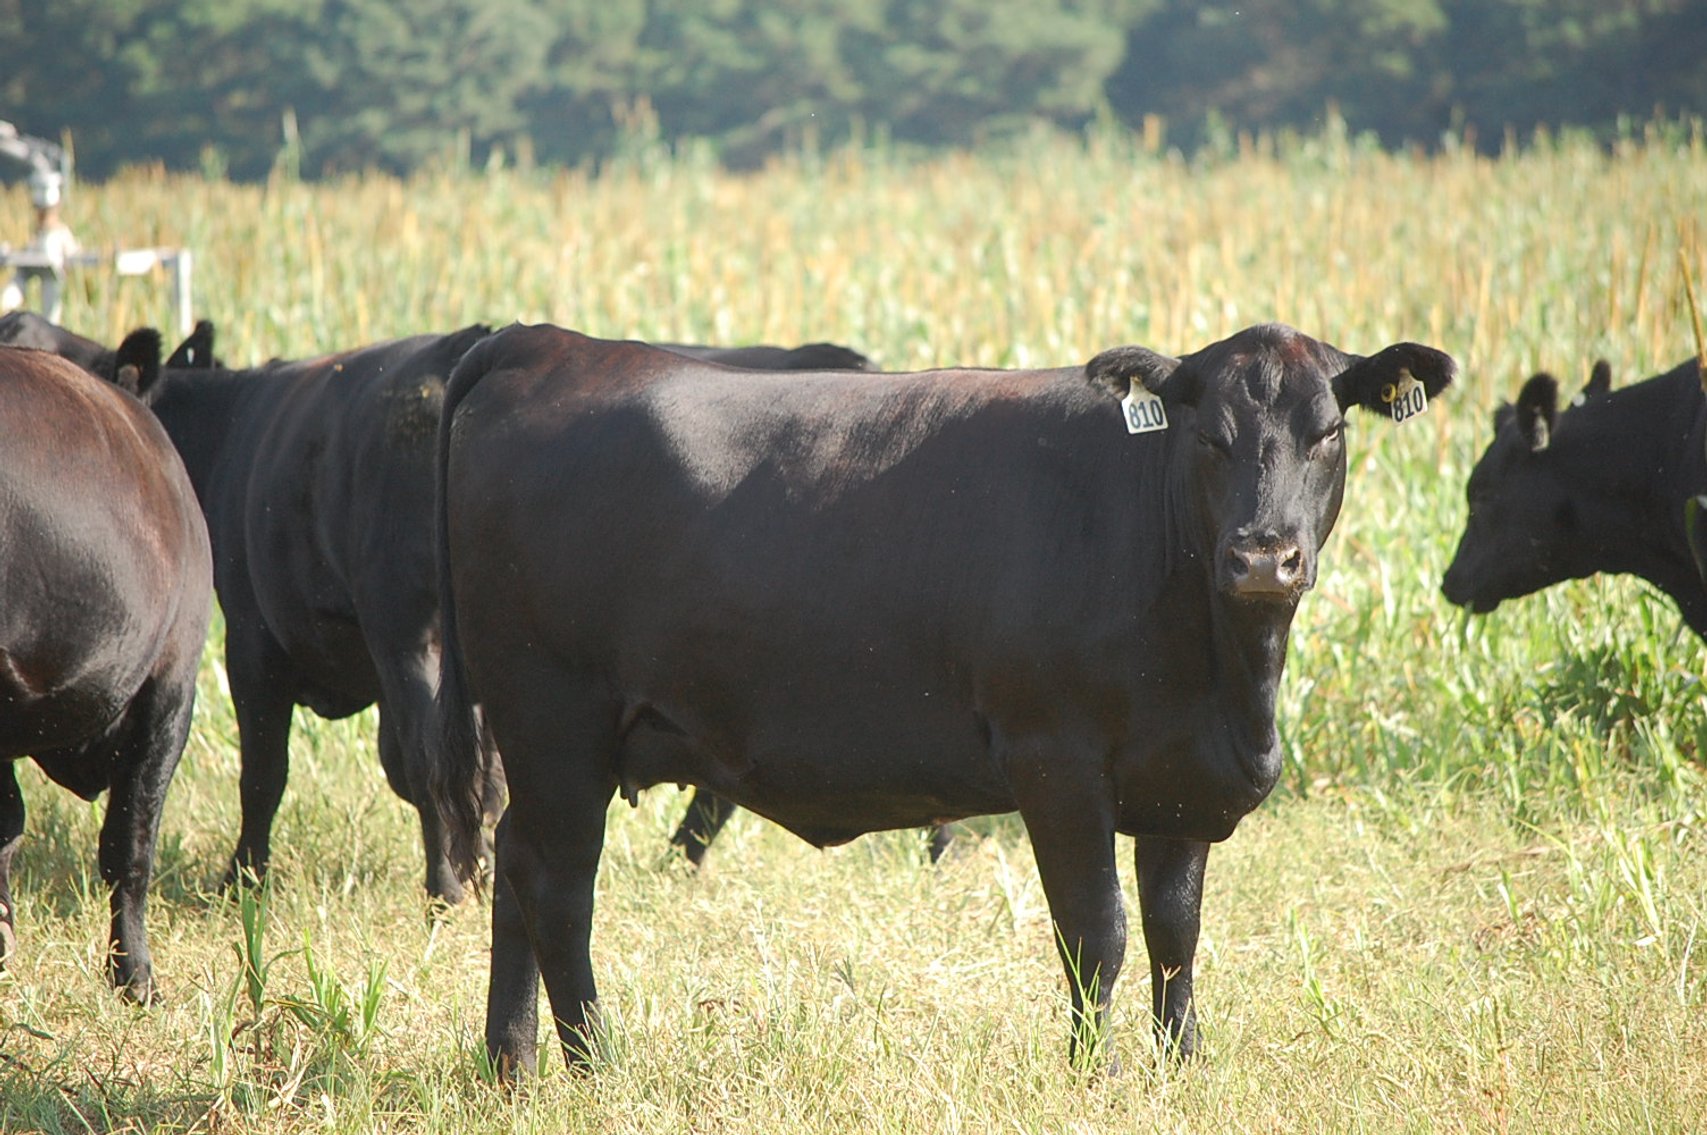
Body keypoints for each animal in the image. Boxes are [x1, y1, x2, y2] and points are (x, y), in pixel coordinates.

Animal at [428, 321, 1455, 1077]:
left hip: (546, 742)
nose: (1261, 556)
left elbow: (1176, 933)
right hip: (557, 723)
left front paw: (1181, 1068)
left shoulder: (1179, 779)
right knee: (558, 885)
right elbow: (1097, 932)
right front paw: (1092, 1076)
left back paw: (512, 1062)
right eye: (1210, 438)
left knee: (516, 866)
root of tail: (543, 341)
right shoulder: (1055, 760)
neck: (1223, 673)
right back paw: (595, 1064)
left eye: (1327, 433)